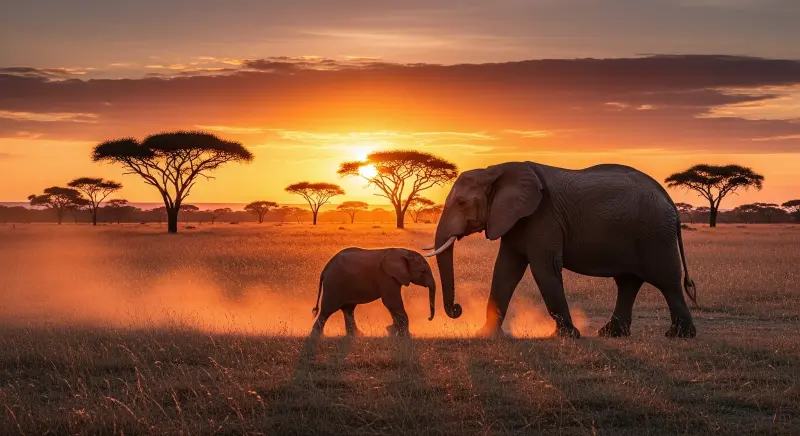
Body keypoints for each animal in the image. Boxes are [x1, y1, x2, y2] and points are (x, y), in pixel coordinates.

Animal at [424, 161, 699, 339]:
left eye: (461, 203)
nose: (457, 309)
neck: (495, 171)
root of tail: (670, 202)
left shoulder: (543, 217)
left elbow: (544, 269)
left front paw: (568, 336)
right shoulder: (515, 219)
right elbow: (505, 271)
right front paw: (486, 334)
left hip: (655, 235)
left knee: (666, 281)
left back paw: (679, 335)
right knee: (628, 282)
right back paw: (610, 334)